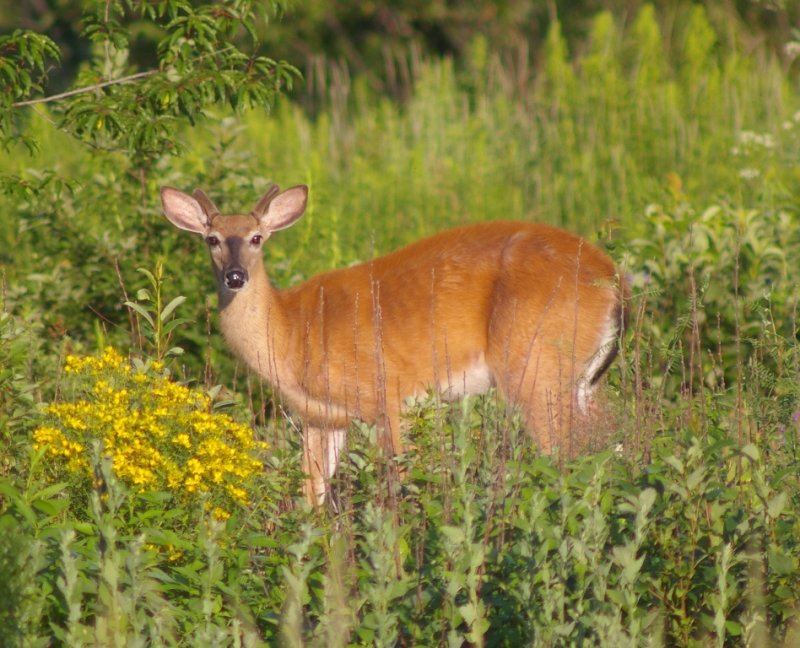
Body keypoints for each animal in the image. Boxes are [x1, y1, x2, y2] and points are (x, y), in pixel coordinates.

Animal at [161, 184, 624, 506]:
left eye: (257, 237)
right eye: (211, 239)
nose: (235, 276)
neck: (291, 330)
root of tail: (613, 281)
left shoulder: (389, 396)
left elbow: (403, 482)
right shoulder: (323, 417)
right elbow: (311, 495)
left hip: (533, 364)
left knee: (565, 455)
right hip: (582, 380)